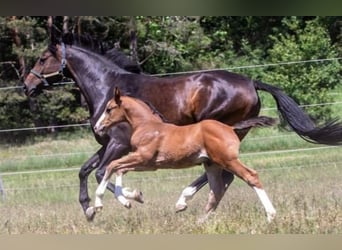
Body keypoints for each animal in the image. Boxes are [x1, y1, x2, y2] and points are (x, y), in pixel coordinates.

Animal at [93, 87, 278, 222]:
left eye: (109, 109)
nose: (97, 127)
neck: (147, 126)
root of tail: (230, 128)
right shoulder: (148, 164)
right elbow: (119, 169)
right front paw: (131, 197)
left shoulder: (142, 157)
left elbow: (112, 166)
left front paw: (100, 203)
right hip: (212, 164)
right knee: (216, 190)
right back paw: (201, 220)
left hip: (228, 160)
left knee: (250, 176)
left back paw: (271, 215)